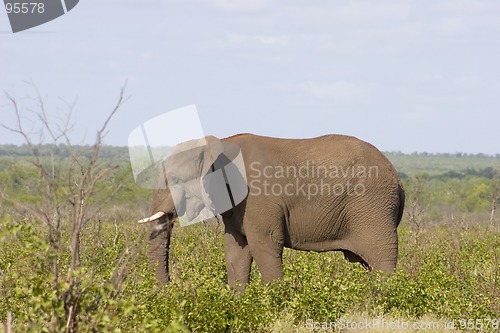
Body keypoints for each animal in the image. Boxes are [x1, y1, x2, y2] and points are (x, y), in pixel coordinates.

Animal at [139, 132, 404, 288]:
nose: (170, 289)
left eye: (174, 179)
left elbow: (265, 245)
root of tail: (398, 180)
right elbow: (236, 249)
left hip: (374, 206)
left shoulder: (258, 198)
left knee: (382, 262)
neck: (220, 143)